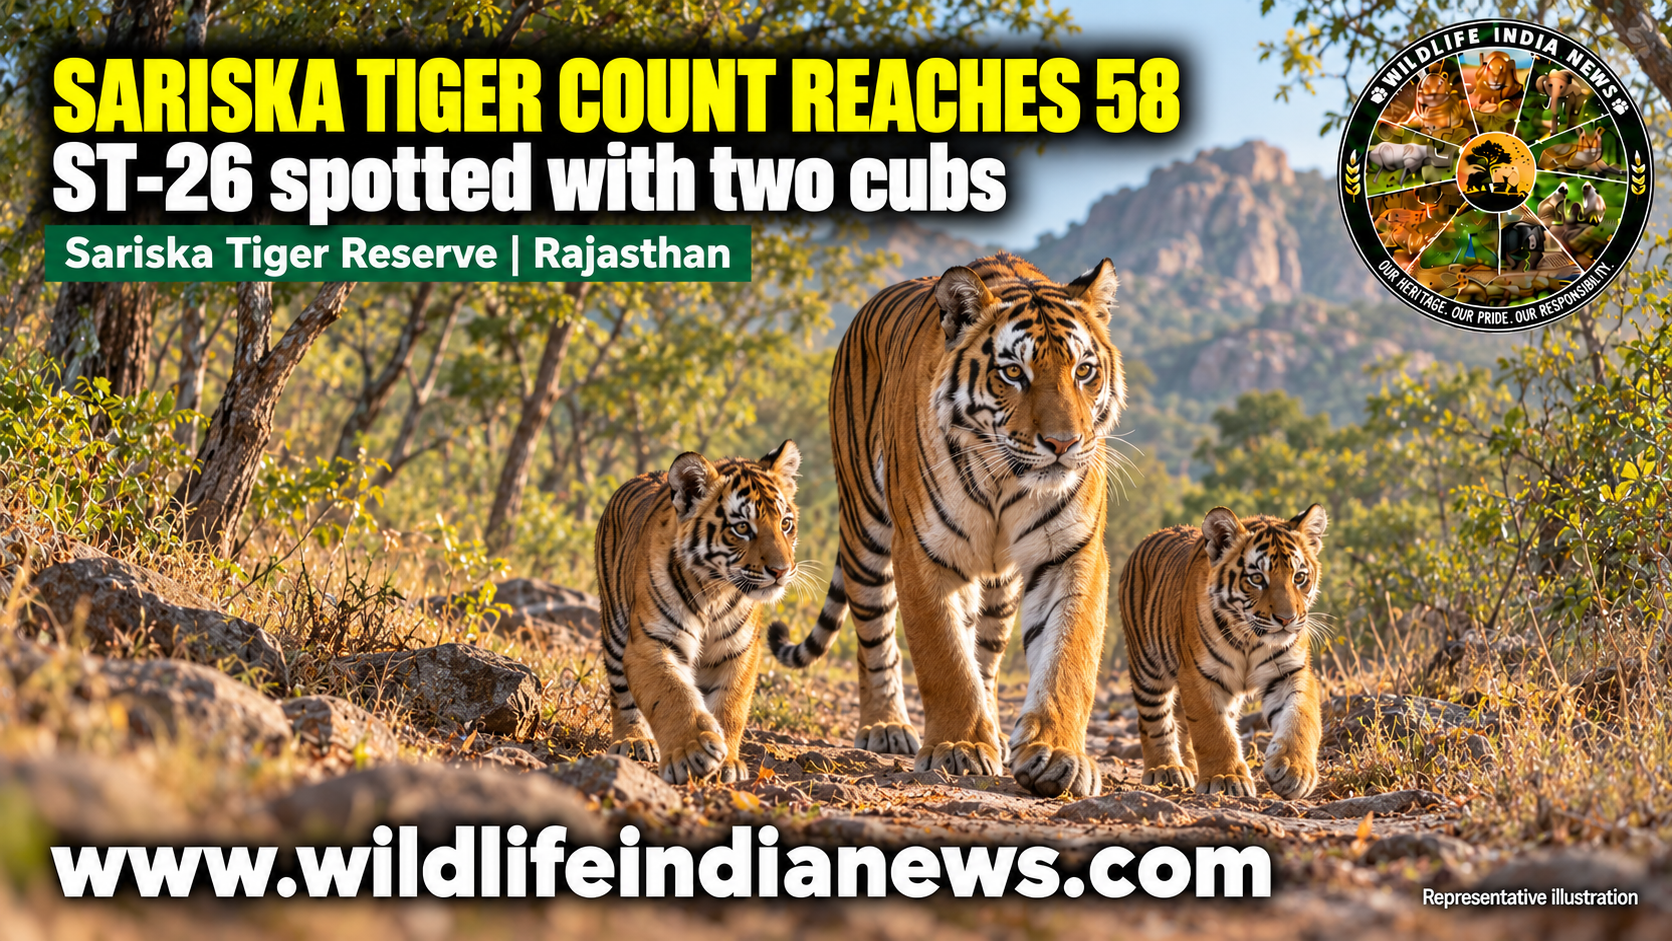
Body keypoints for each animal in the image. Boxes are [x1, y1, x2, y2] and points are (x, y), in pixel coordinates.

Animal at [597, 441, 801, 784]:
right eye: (742, 528)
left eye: (786, 524)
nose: (781, 571)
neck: (715, 593)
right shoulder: (651, 641)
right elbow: (671, 693)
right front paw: (692, 752)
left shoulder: (740, 651)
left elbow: (731, 706)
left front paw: (728, 763)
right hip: (615, 629)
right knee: (620, 692)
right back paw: (634, 740)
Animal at [769, 252, 1124, 799]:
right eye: (1013, 372)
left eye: (1084, 370)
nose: (1064, 444)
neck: (1006, 479)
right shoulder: (922, 550)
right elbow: (944, 657)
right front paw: (959, 747)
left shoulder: (1071, 551)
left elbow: (1068, 657)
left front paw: (1056, 754)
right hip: (865, 530)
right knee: (874, 637)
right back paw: (885, 725)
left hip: (999, 586)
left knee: (988, 654)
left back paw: (994, 732)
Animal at [1117, 505, 1328, 799]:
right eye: (1256, 578)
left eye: (1299, 577)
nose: (1287, 619)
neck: (1251, 640)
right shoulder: (1198, 675)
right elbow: (1213, 729)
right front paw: (1227, 778)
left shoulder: (1290, 672)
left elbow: (1301, 717)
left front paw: (1295, 770)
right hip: (1147, 668)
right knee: (1154, 719)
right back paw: (1166, 769)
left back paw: (1190, 766)